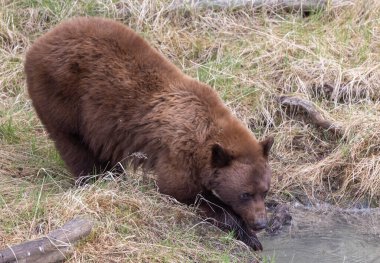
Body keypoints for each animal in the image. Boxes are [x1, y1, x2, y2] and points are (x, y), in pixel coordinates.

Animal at [24, 17, 274, 252]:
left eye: (265, 191)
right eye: (245, 194)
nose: (261, 222)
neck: (205, 130)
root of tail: (39, 42)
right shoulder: (178, 152)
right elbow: (181, 190)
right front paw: (247, 233)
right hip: (62, 94)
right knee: (74, 145)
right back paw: (95, 178)